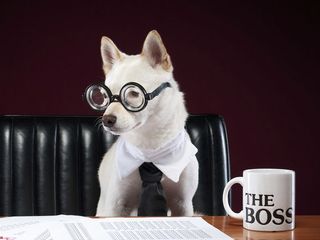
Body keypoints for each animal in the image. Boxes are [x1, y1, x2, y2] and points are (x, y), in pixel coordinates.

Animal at [90, 30, 199, 218]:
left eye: (134, 93)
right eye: (104, 96)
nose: (107, 119)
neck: (150, 146)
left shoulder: (183, 204)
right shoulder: (116, 205)